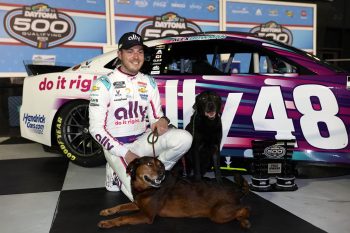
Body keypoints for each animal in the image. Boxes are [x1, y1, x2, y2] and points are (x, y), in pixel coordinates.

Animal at [98, 157, 252, 229]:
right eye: (149, 164)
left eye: (161, 165)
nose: (161, 174)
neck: (147, 188)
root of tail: (237, 190)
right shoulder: (138, 204)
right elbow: (121, 206)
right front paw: (107, 211)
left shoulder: (147, 215)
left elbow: (123, 218)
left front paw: (107, 222)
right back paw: (243, 220)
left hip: (218, 213)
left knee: (245, 208)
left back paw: (245, 221)